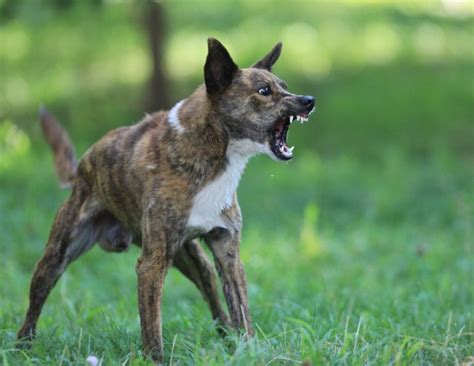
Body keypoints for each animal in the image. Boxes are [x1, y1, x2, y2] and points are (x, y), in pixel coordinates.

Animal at [17, 38, 314, 362]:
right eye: (263, 91)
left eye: (284, 86)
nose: (308, 100)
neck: (213, 152)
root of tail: (81, 168)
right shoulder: (151, 265)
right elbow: (152, 327)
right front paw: (155, 360)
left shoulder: (228, 252)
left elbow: (241, 311)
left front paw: (248, 352)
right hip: (56, 257)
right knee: (34, 305)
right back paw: (21, 348)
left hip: (195, 260)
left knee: (215, 302)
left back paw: (227, 339)